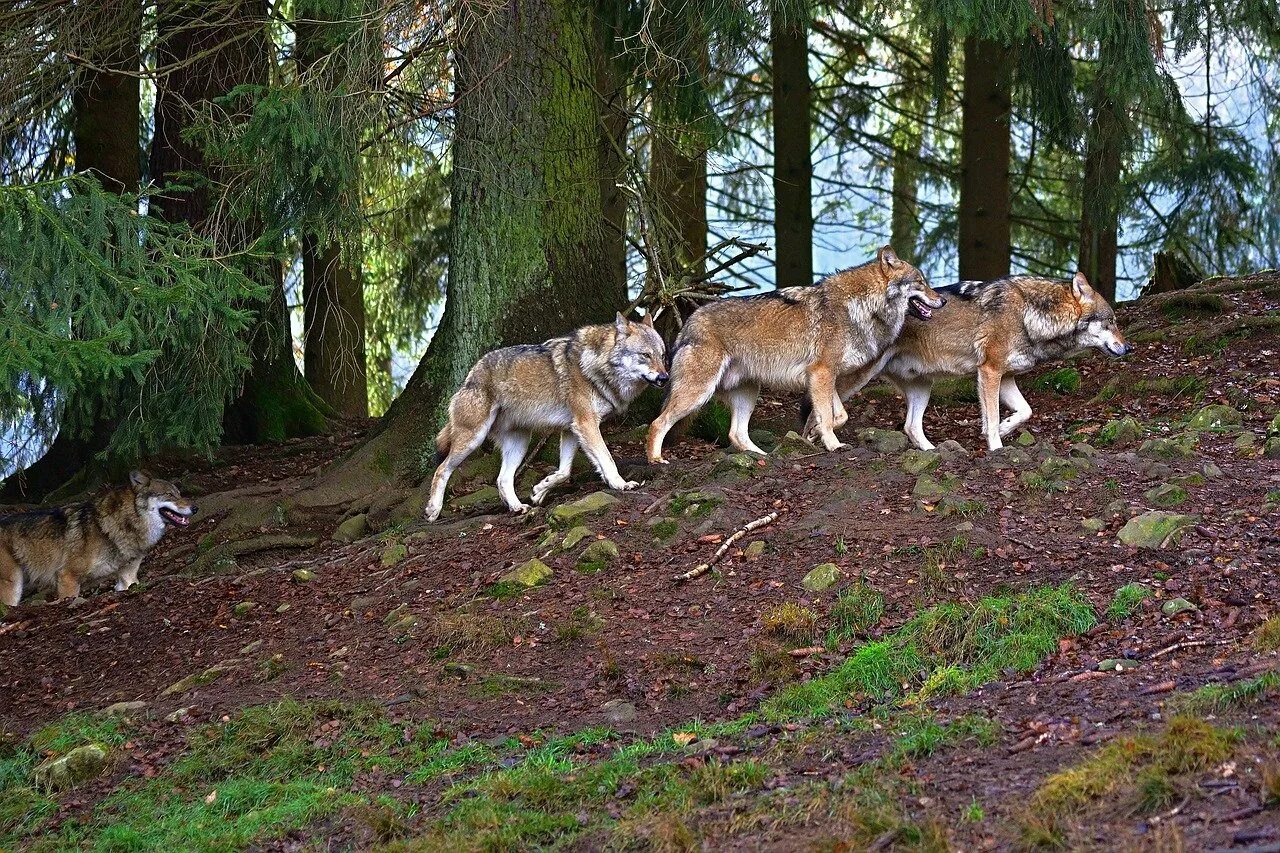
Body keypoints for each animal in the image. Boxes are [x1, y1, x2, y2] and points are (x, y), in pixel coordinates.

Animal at [0, 471, 197, 604]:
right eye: (169, 495)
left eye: (179, 493)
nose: (196, 508)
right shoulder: (67, 576)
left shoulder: (128, 578)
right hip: (12, 585)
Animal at [427, 312, 670, 517]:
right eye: (645, 355)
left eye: (662, 356)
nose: (665, 378)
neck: (596, 365)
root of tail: (471, 374)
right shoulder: (586, 424)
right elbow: (607, 459)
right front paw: (621, 484)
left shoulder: (572, 429)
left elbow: (564, 472)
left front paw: (539, 491)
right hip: (473, 438)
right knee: (441, 469)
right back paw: (433, 510)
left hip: (519, 444)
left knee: (502, 479)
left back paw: (517, 507)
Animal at [645, 242, 947, 461]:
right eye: (920, 282)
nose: (942, 300)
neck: (863, 307)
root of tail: (689, 324)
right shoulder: (822, 372)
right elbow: (828, 416)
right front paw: (834, 445)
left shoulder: (824, 377)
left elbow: (838, 415)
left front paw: (813, 435)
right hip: (698, 393)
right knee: (658, 423)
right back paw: (656, 460)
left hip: (748, 393)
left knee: (736, 434)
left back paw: (763, 457)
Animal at [803, 272, 1136, 448]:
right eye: (1110, 322)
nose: (1129, 347)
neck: (1030, 314)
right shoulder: (989, 371)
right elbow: (991, 418)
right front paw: (997, 446)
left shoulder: (1006, 377)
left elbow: (1025, 412)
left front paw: (1006, 428)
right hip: (853, 375)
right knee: (816, 406)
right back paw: (813, 440)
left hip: (922, 387)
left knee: (911, 427)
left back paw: (932, 451)